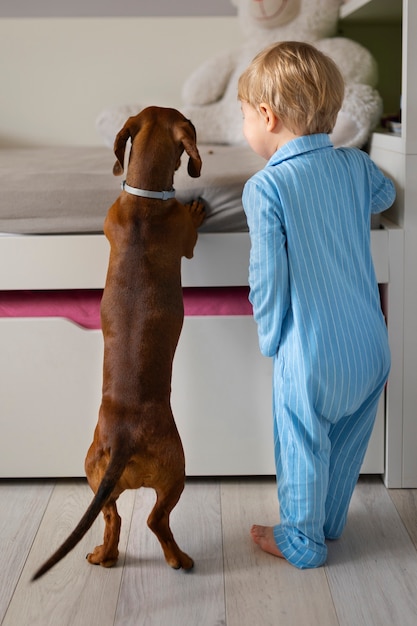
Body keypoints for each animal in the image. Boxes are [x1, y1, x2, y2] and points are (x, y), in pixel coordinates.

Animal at [32, 105, 205, 576]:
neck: (145, 199)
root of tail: (126, 437)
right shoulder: (185, 242)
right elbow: (191, 231)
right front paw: (197, 209)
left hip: (94, 474)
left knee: (113, 517)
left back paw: (104, 555)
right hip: (177, 472)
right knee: (154, 520)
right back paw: (179, 558)